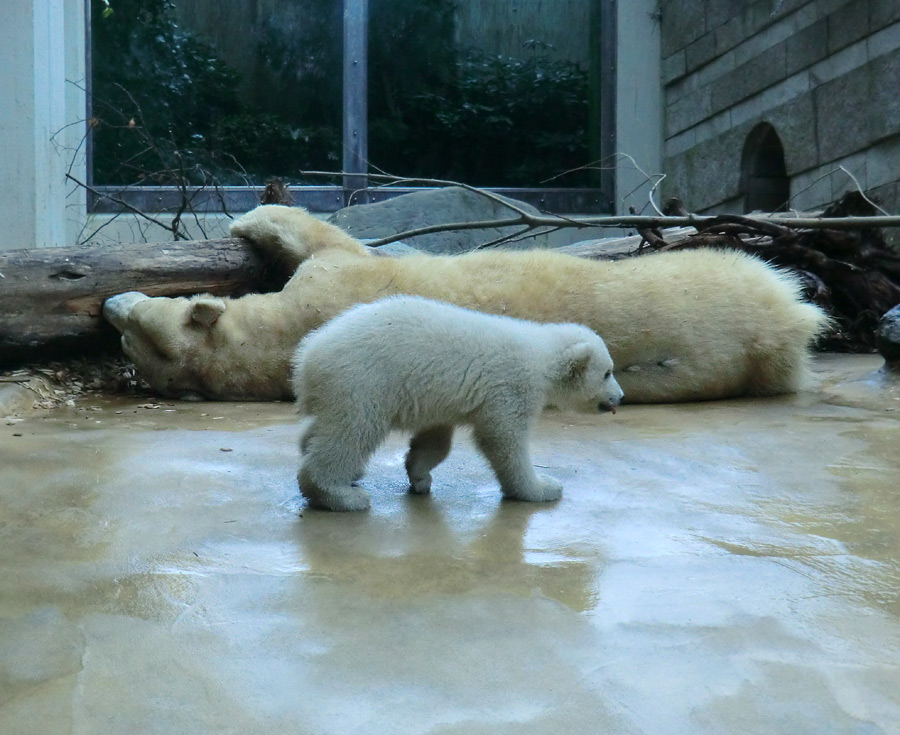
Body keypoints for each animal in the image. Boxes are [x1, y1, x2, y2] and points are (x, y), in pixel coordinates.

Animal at [103, 204, 828, 406]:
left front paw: (247, 219)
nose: (111, 302)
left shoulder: (333, 285)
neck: (285, 341)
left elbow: (324, 237)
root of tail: (786, 326)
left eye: (135, 326)